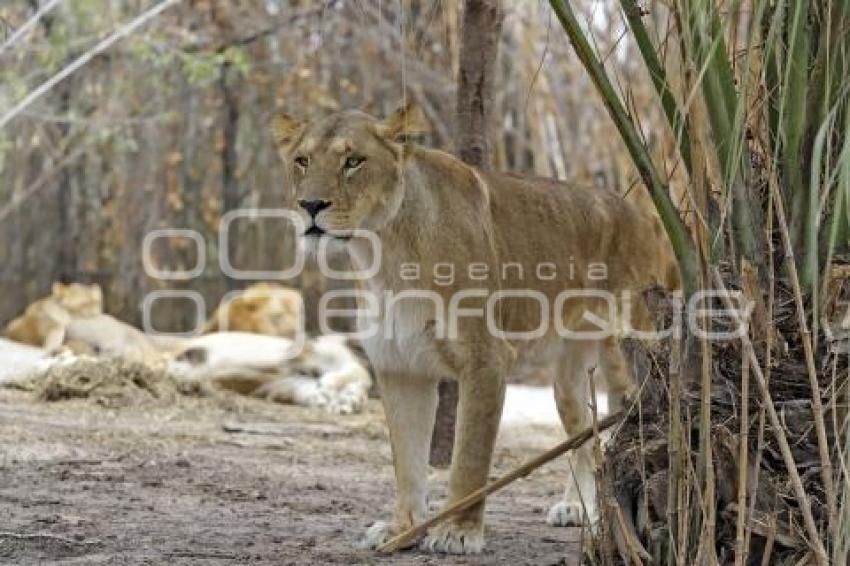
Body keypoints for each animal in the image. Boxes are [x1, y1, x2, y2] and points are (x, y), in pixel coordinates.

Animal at [272, 102, 676, 556]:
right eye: (302, 160)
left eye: (353, 161)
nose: (310, 204)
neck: (384, 251)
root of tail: (644, 216)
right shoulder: (400, 367)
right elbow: (407, 460)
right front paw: (402, 530)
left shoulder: (486, 359)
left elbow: (469, 457)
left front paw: (457, 532)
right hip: (568, 379)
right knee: (586, 436)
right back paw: (580, 509)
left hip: (630, 353)